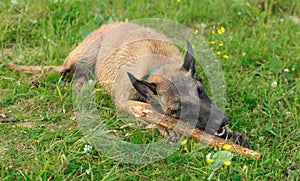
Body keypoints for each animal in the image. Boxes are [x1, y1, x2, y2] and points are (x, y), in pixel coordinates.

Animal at [7, 21, 250, 148]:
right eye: (177, 110)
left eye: (200, 91)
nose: (221, 122)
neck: (158, 67)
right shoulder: (125, 104)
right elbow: (151, 118)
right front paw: (165, 129)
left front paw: (234, 133)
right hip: (80, 56)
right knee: (62, 70)